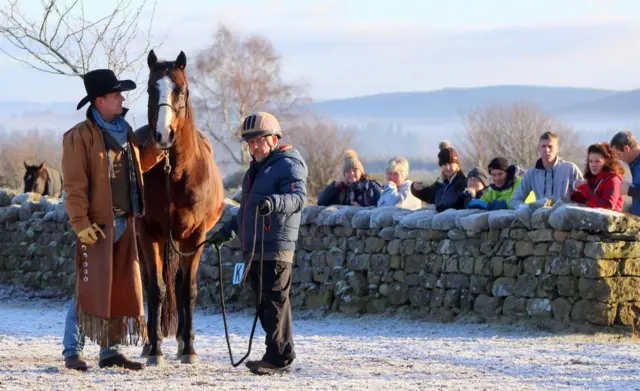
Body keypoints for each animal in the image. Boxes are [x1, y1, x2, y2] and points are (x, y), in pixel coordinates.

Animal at [135, 50, 225, 366]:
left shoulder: (196, 236)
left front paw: (188, 348)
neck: (174, 174)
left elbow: (187, 290)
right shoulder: (149, 233)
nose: (164, 135)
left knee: (180, 282)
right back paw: (151, 343)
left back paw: (185, 340)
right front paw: (155, 350)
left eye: (181, 91)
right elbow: (156, 288)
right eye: (151, 90)